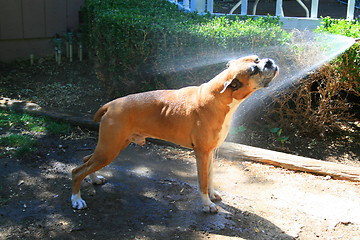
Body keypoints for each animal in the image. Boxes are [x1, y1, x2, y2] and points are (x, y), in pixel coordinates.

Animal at [70, 55, 278, 213]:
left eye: (257, 59)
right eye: (253, 69)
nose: (269, 61)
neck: (217, 97)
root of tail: (111, 105)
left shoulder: (210, 152)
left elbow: (210, 176)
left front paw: (212, 195)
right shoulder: (201, 153)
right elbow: (203, 181)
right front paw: (207, 204)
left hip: (111, 146)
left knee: (86, 160)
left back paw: (95, 179)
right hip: (109, 149)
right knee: (77, 171)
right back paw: (76, 199)